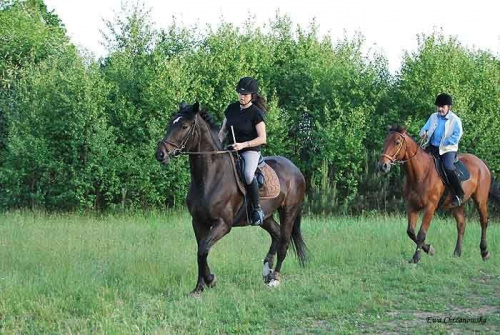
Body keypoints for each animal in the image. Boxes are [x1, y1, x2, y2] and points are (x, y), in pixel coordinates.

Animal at [156, 101, 306, 296]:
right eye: (170, 123)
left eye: (184, 126)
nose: (160, 154)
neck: (209, 177)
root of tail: (296, 169)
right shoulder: (198, 222)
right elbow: (200, 251)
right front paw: (199, 288)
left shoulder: (223, 224)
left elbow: (203, 250)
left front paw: (210, 280)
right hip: (265, 217)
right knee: (277, 234)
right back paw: (266, 271)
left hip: (288, 211)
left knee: (284, 242)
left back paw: (274, 278)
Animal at [378, 126, 496, 266]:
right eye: (385, 141)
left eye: (397, 142)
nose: (383, 166)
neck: (421, 173)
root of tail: (482, 164)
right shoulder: (412, 206)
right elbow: (411, 232)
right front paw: (429, 249)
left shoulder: (430, 207)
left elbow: (421, 233)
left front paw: (416, 257)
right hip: (456, 205)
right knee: (461, 224)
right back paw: (457, 253)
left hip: (480, 200)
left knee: (483, 222)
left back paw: (485, 252)